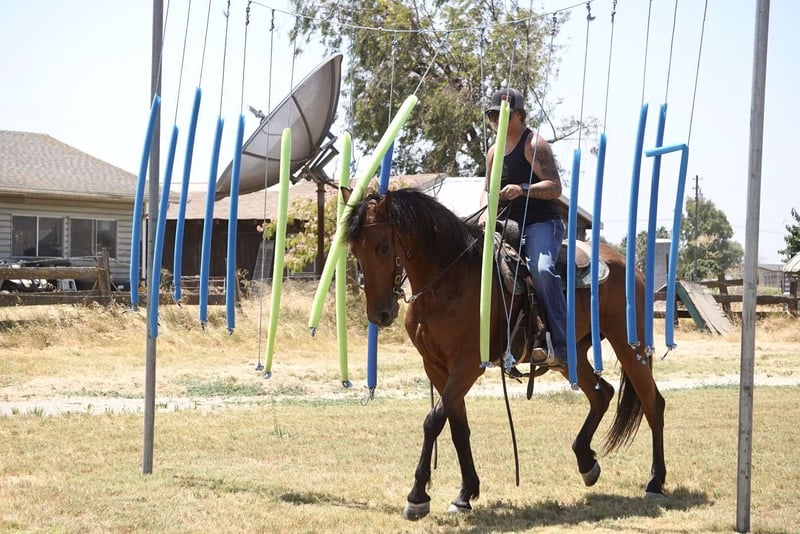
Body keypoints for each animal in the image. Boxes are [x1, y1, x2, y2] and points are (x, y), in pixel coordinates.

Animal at [342, 187, 666, 520]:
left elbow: (433, 421)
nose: (380, 313)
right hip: (573, 354)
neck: (447, 282)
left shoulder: (468, 365)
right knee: (602, 394)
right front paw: (464, 494)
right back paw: (586, 462)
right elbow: (457, 426)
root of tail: (629, 266)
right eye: (355, 250)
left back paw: (655, 482)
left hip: (629, 345)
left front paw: (417, 496)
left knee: (653, 404)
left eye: (383, 248)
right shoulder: (436, 367)